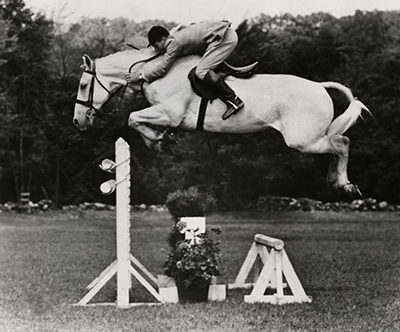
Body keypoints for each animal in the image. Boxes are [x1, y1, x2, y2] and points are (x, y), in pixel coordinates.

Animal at [74, 48, 368, 198]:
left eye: (83, 85)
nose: (78, 121)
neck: (154, 72)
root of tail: (319, 86)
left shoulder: (170, 113)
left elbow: (133, 118)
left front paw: (158, 142)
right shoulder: (165, 114)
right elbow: (138, 121)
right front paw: (162, 139)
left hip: (303, 140)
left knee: (341, 143)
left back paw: (345, 184)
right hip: (309, 139)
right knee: (336, 146)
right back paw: (334, 182)